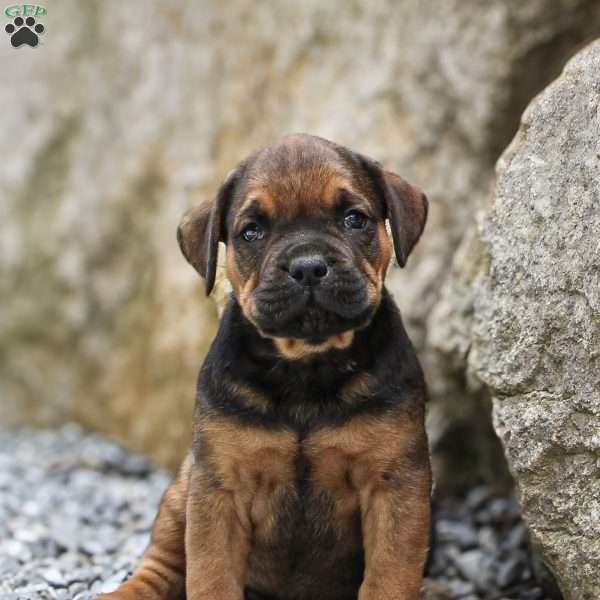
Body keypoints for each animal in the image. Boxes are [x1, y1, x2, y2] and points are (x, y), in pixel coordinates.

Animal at [101, 135, 434, 600]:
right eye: (251, 231)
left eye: (355, 219)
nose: (308, 266)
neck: (306, 363)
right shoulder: (219, 487)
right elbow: (210, 574)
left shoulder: (394, 484)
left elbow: (390, 575)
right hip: (181, 491)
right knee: (161, 565)